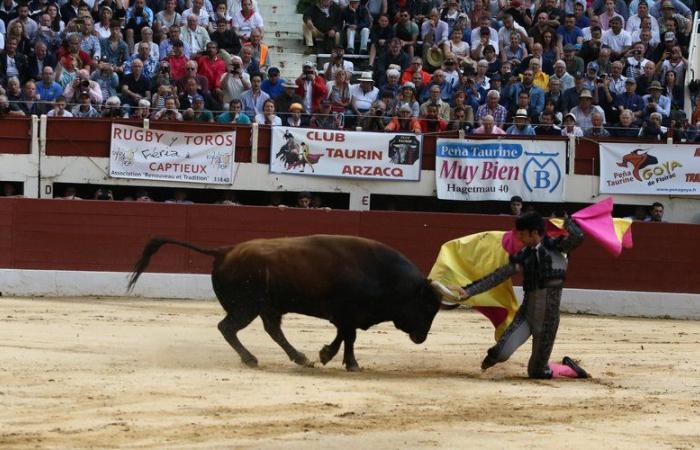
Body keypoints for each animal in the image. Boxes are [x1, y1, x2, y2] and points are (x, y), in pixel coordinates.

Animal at [129, 234, 440, 370]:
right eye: (426, 307)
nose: (422, 337)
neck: (382, 274)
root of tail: (225, 250)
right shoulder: (346, 313)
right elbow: (348, 337)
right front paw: (343, 361)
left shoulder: (344, 315)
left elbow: (344, 335)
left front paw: (328, 356)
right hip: (246, 307)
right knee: (227, 328)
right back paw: (251, 359)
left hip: (266, 307)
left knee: (272, 330)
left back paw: (300, 358)